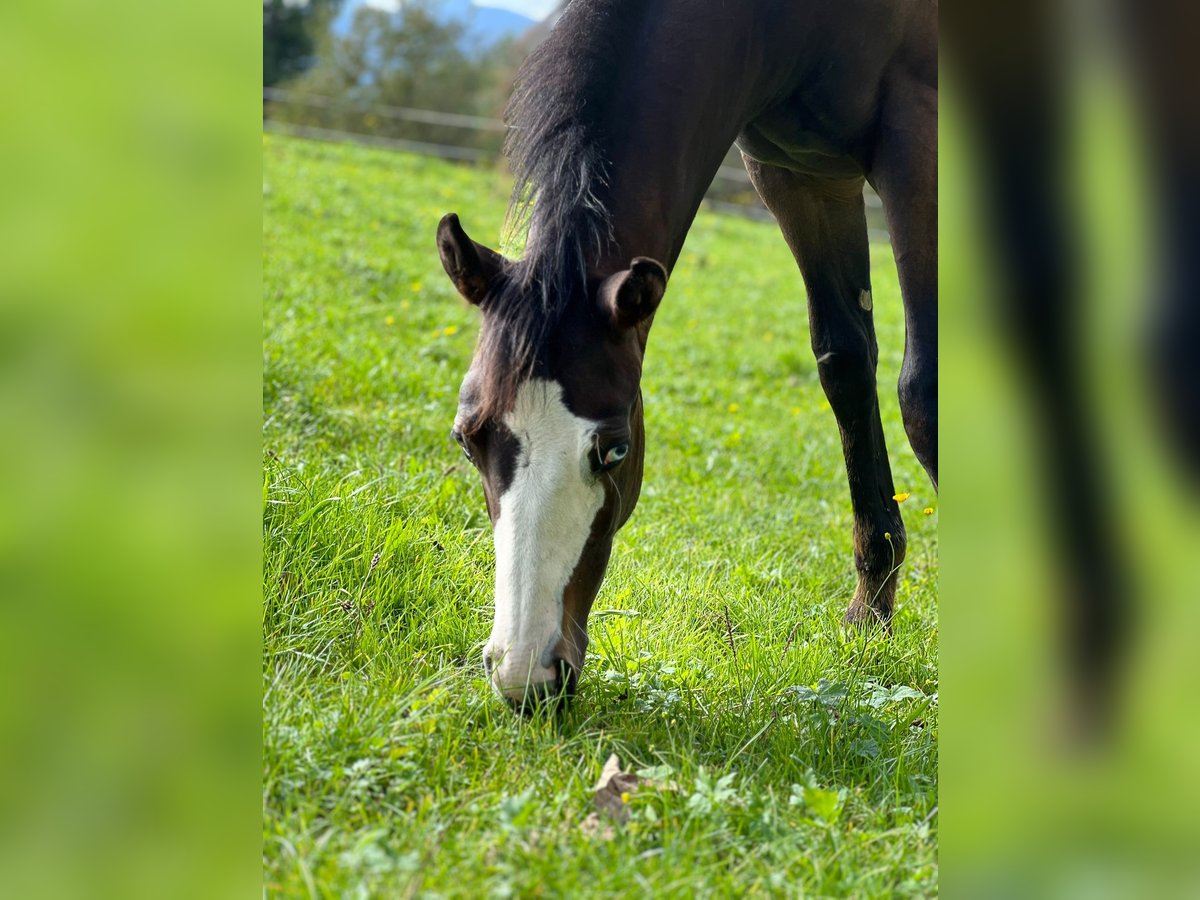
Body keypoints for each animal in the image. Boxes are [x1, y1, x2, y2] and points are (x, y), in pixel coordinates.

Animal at [436, 0, 937, 709]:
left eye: (615, 450)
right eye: (466, 440)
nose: (525, 676)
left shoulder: (919, 133)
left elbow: (924, 395)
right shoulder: (800, 176)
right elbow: (844, 364)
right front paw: (870, 611)